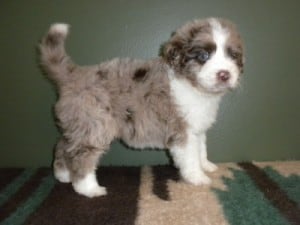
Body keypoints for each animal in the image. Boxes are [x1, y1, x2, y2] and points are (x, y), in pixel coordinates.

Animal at [39, 17, 244, 197]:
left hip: (79, 123)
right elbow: (190, 156)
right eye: (203, 56)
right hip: (94, 125)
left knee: (64, 145)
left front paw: (206, 166)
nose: (224, 74)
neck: (193, 86)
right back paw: (89, 189)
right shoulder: (182, 131)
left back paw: (63, 175)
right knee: (82, 154)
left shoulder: (197, 128)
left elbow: (201, 149)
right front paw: (198, 177)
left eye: (232, 55)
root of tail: (74, 75)